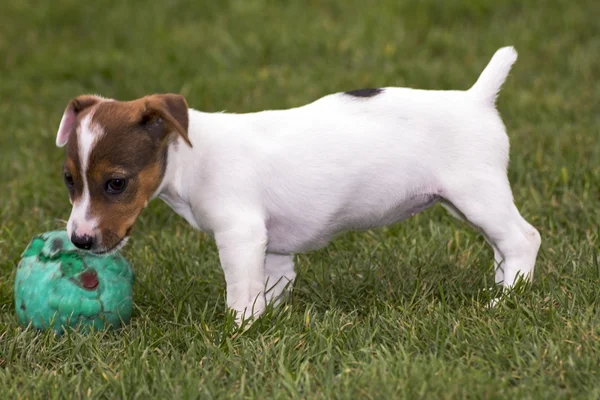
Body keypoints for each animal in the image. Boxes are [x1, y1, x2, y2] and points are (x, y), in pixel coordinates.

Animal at [56, 46, 540, 322]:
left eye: (116, 184)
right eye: (69, 180)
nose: (79, 240)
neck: (191, 158)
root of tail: (476, 98)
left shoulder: (240, 235)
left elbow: (241, 295)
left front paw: (239, 331)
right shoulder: (271, 248)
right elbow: (269, 287)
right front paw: (269, 320)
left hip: (478, 194)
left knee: (523, 238)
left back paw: (505, 302)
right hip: (467, 203)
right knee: (503, 249)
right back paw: (504, 288)